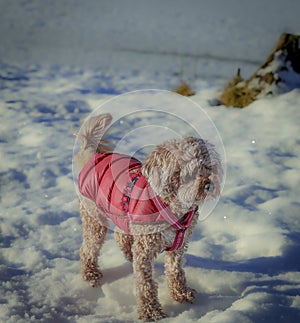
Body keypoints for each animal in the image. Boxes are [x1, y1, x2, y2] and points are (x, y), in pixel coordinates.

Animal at [75, 113, 223, 322]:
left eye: (206, 166)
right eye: (185, 170)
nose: (208, 184)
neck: (172, 206)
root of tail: (93, 156)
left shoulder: (178, 246)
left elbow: (175, 271)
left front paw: (180, 293)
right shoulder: (144, 251)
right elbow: (146, 284)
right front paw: (151, 312)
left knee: (120, 236)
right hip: (94, 219)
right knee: (88, 248)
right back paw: (91, 273)